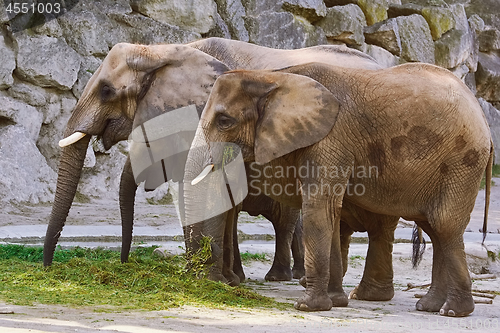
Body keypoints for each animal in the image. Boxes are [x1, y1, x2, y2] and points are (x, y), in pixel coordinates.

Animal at [183, 61, 492, 316]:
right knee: (434, 228)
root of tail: (483, 116)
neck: (273, 77)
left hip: (462, 162)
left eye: (225, 121)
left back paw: (452, 312)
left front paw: (308, 307)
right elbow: (330, 213)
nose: (202, 277)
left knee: (444, 226)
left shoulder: (330, 140)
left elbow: (319, 208)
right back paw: (428, 307)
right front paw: (335, 302)